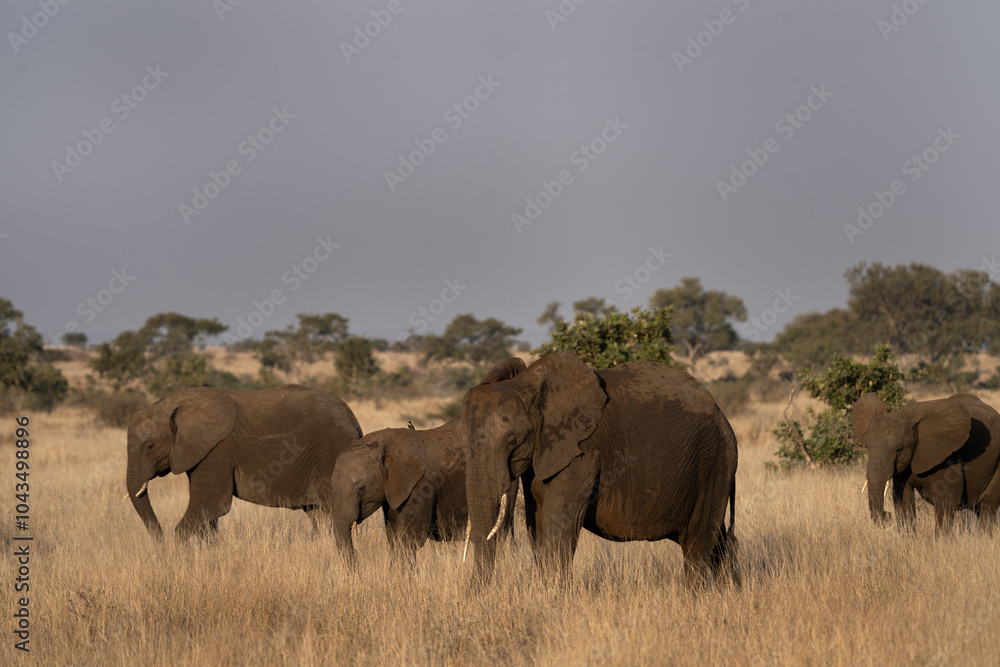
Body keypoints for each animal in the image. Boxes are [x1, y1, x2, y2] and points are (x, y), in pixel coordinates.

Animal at [125, 384, 363, 540]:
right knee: (319, 516)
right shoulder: (202, 453)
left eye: (150, 447)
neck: (171, 405)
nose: (160, 542)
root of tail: (352, 419)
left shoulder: (217, 451)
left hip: (332, 453)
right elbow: (208, 516)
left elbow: (210, 505)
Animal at [460, 351, 739, 585]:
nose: (474, 592)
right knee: (718, 542)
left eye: (512, 442)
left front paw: (554, 597)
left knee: (697, 545)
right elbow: (535, 523)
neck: (529, 385)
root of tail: (722, 415)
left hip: (713, 462)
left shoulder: (584, 452)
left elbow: (558, 521)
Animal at [853, 391, 1000, 531]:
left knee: (988, 507)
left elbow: (946, 501)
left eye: (899, 449)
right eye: (867, 447)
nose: (886, 515)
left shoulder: (948, 456)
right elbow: (903, 499)